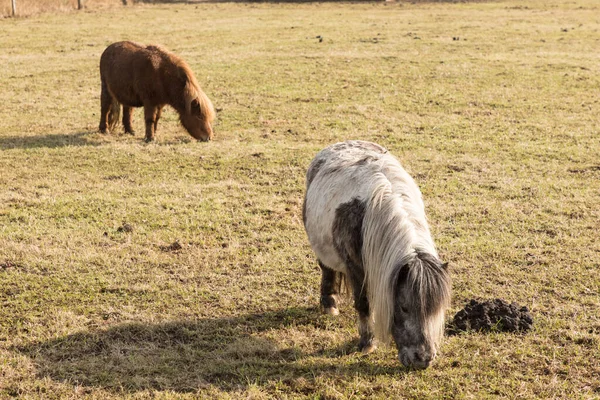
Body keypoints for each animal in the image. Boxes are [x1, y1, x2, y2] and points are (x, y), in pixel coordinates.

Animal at [304, 141, 450, 368]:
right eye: (404, 307)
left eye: (436, 309)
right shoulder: (355, 268)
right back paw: (329, 304)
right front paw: (367, 343)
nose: (422, 360)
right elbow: (363, 303)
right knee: (327, 269)